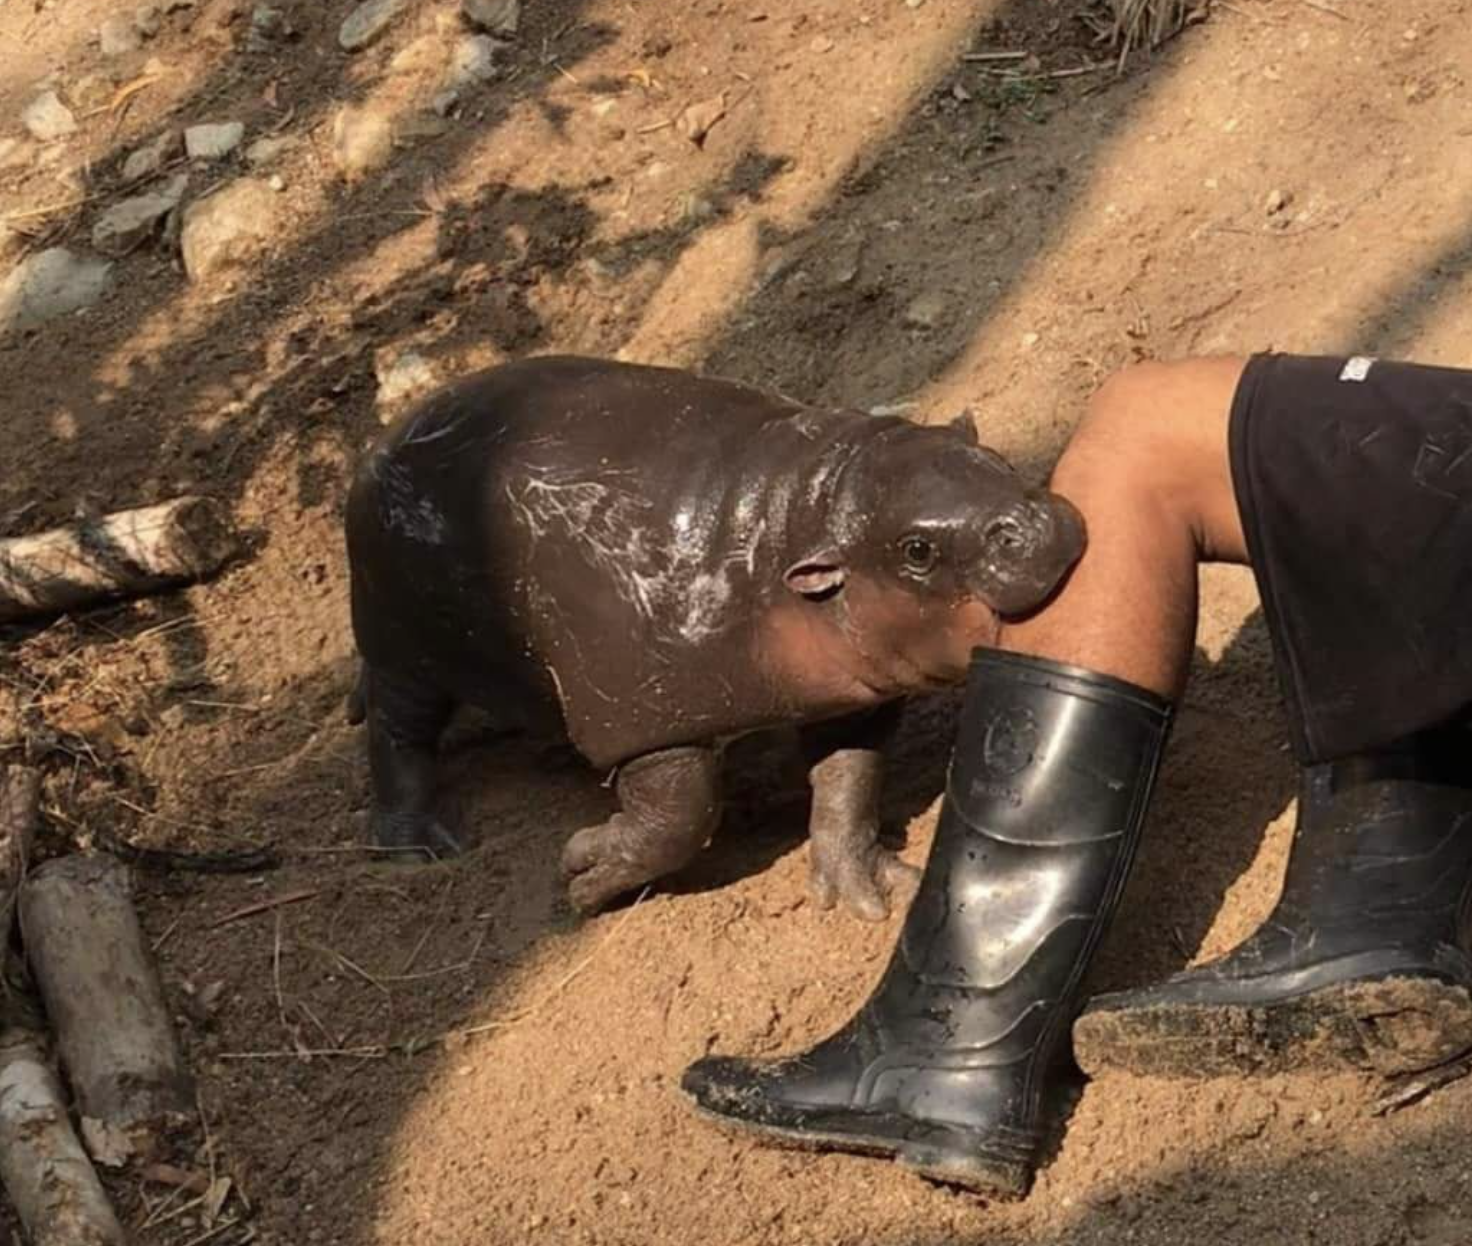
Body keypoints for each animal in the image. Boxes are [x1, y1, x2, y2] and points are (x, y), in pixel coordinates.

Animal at [345, 356, 1084, 918]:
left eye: (992, 457)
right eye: (918, 551)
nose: (1035, 523)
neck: (801, 518)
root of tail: (380, 442)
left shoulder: (850, 692)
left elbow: (849, 777)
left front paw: (872, 890)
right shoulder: (646, 717)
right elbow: (681, 818)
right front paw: (582, 875)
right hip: (404, 643)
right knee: (396, 727)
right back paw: (420, 848)